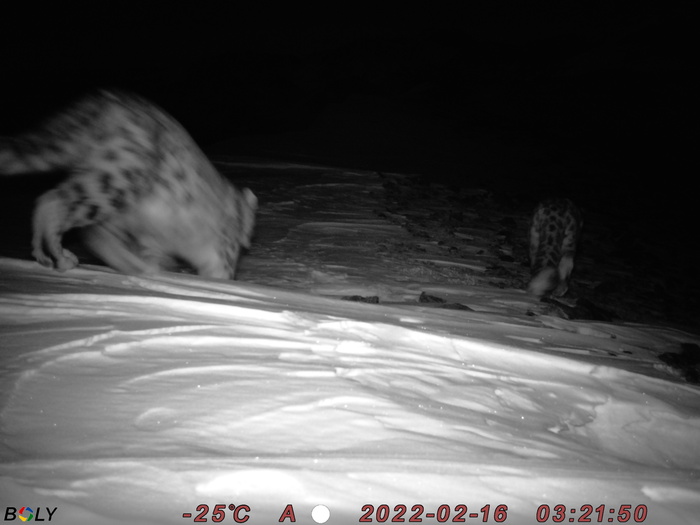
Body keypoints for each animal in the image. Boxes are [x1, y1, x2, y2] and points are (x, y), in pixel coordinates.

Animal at [0, 89, 257, 279]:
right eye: (245, 230)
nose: (246, 239)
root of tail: (108, 101)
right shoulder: (221, 249)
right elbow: (220, 269)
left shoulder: (147, 237)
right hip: (118, 177)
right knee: (56, 201)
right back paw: (60, 256)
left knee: (58, 205)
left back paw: (46, 254)